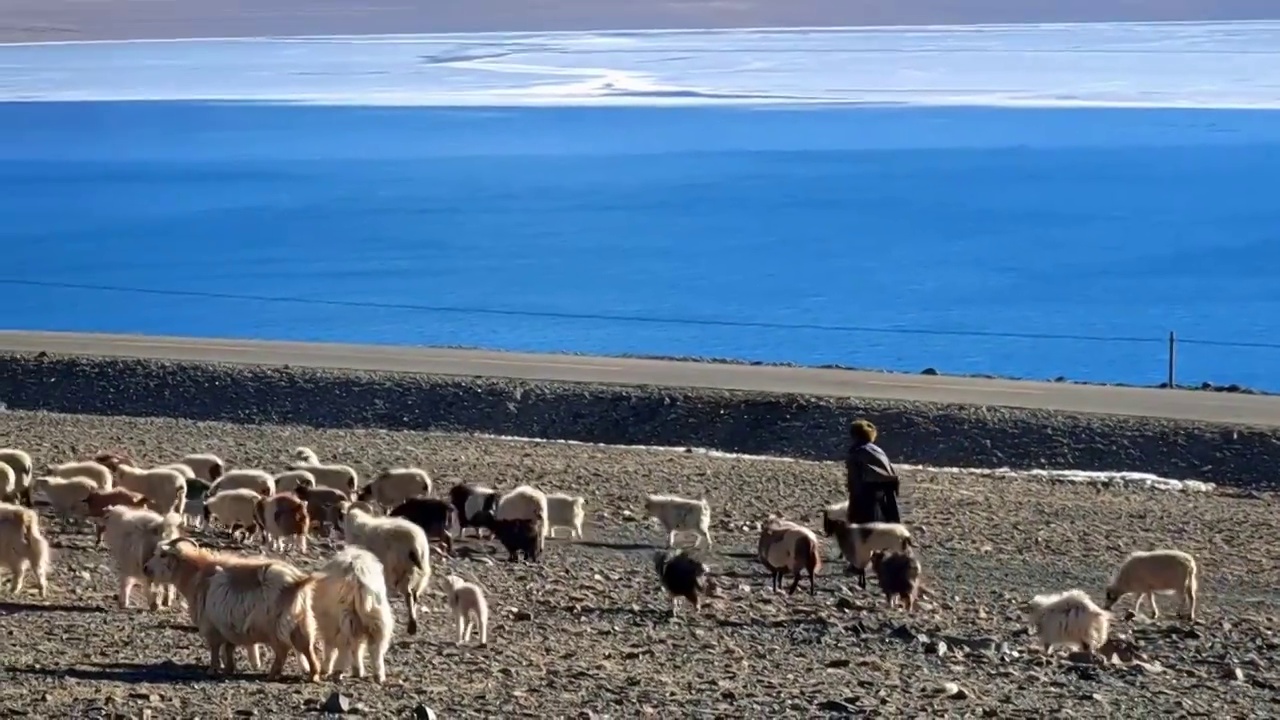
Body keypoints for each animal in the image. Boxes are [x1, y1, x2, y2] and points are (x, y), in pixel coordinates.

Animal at [311, 545, 394, 681]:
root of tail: (356, 572)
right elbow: (357, 647)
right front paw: (358, 670)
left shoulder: (329, 624)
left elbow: (331, 647)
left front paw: (326, 669)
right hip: (376, 616)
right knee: (375, 645)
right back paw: (378, 675)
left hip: (343, 614)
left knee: (344, 642)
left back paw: (337, 670)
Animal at [337, 502, 432, 630]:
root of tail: (415, 544)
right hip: (421, 571)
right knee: (415, 594)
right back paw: (413, 623)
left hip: (400, 569)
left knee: (408, 594)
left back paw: (411, 626)